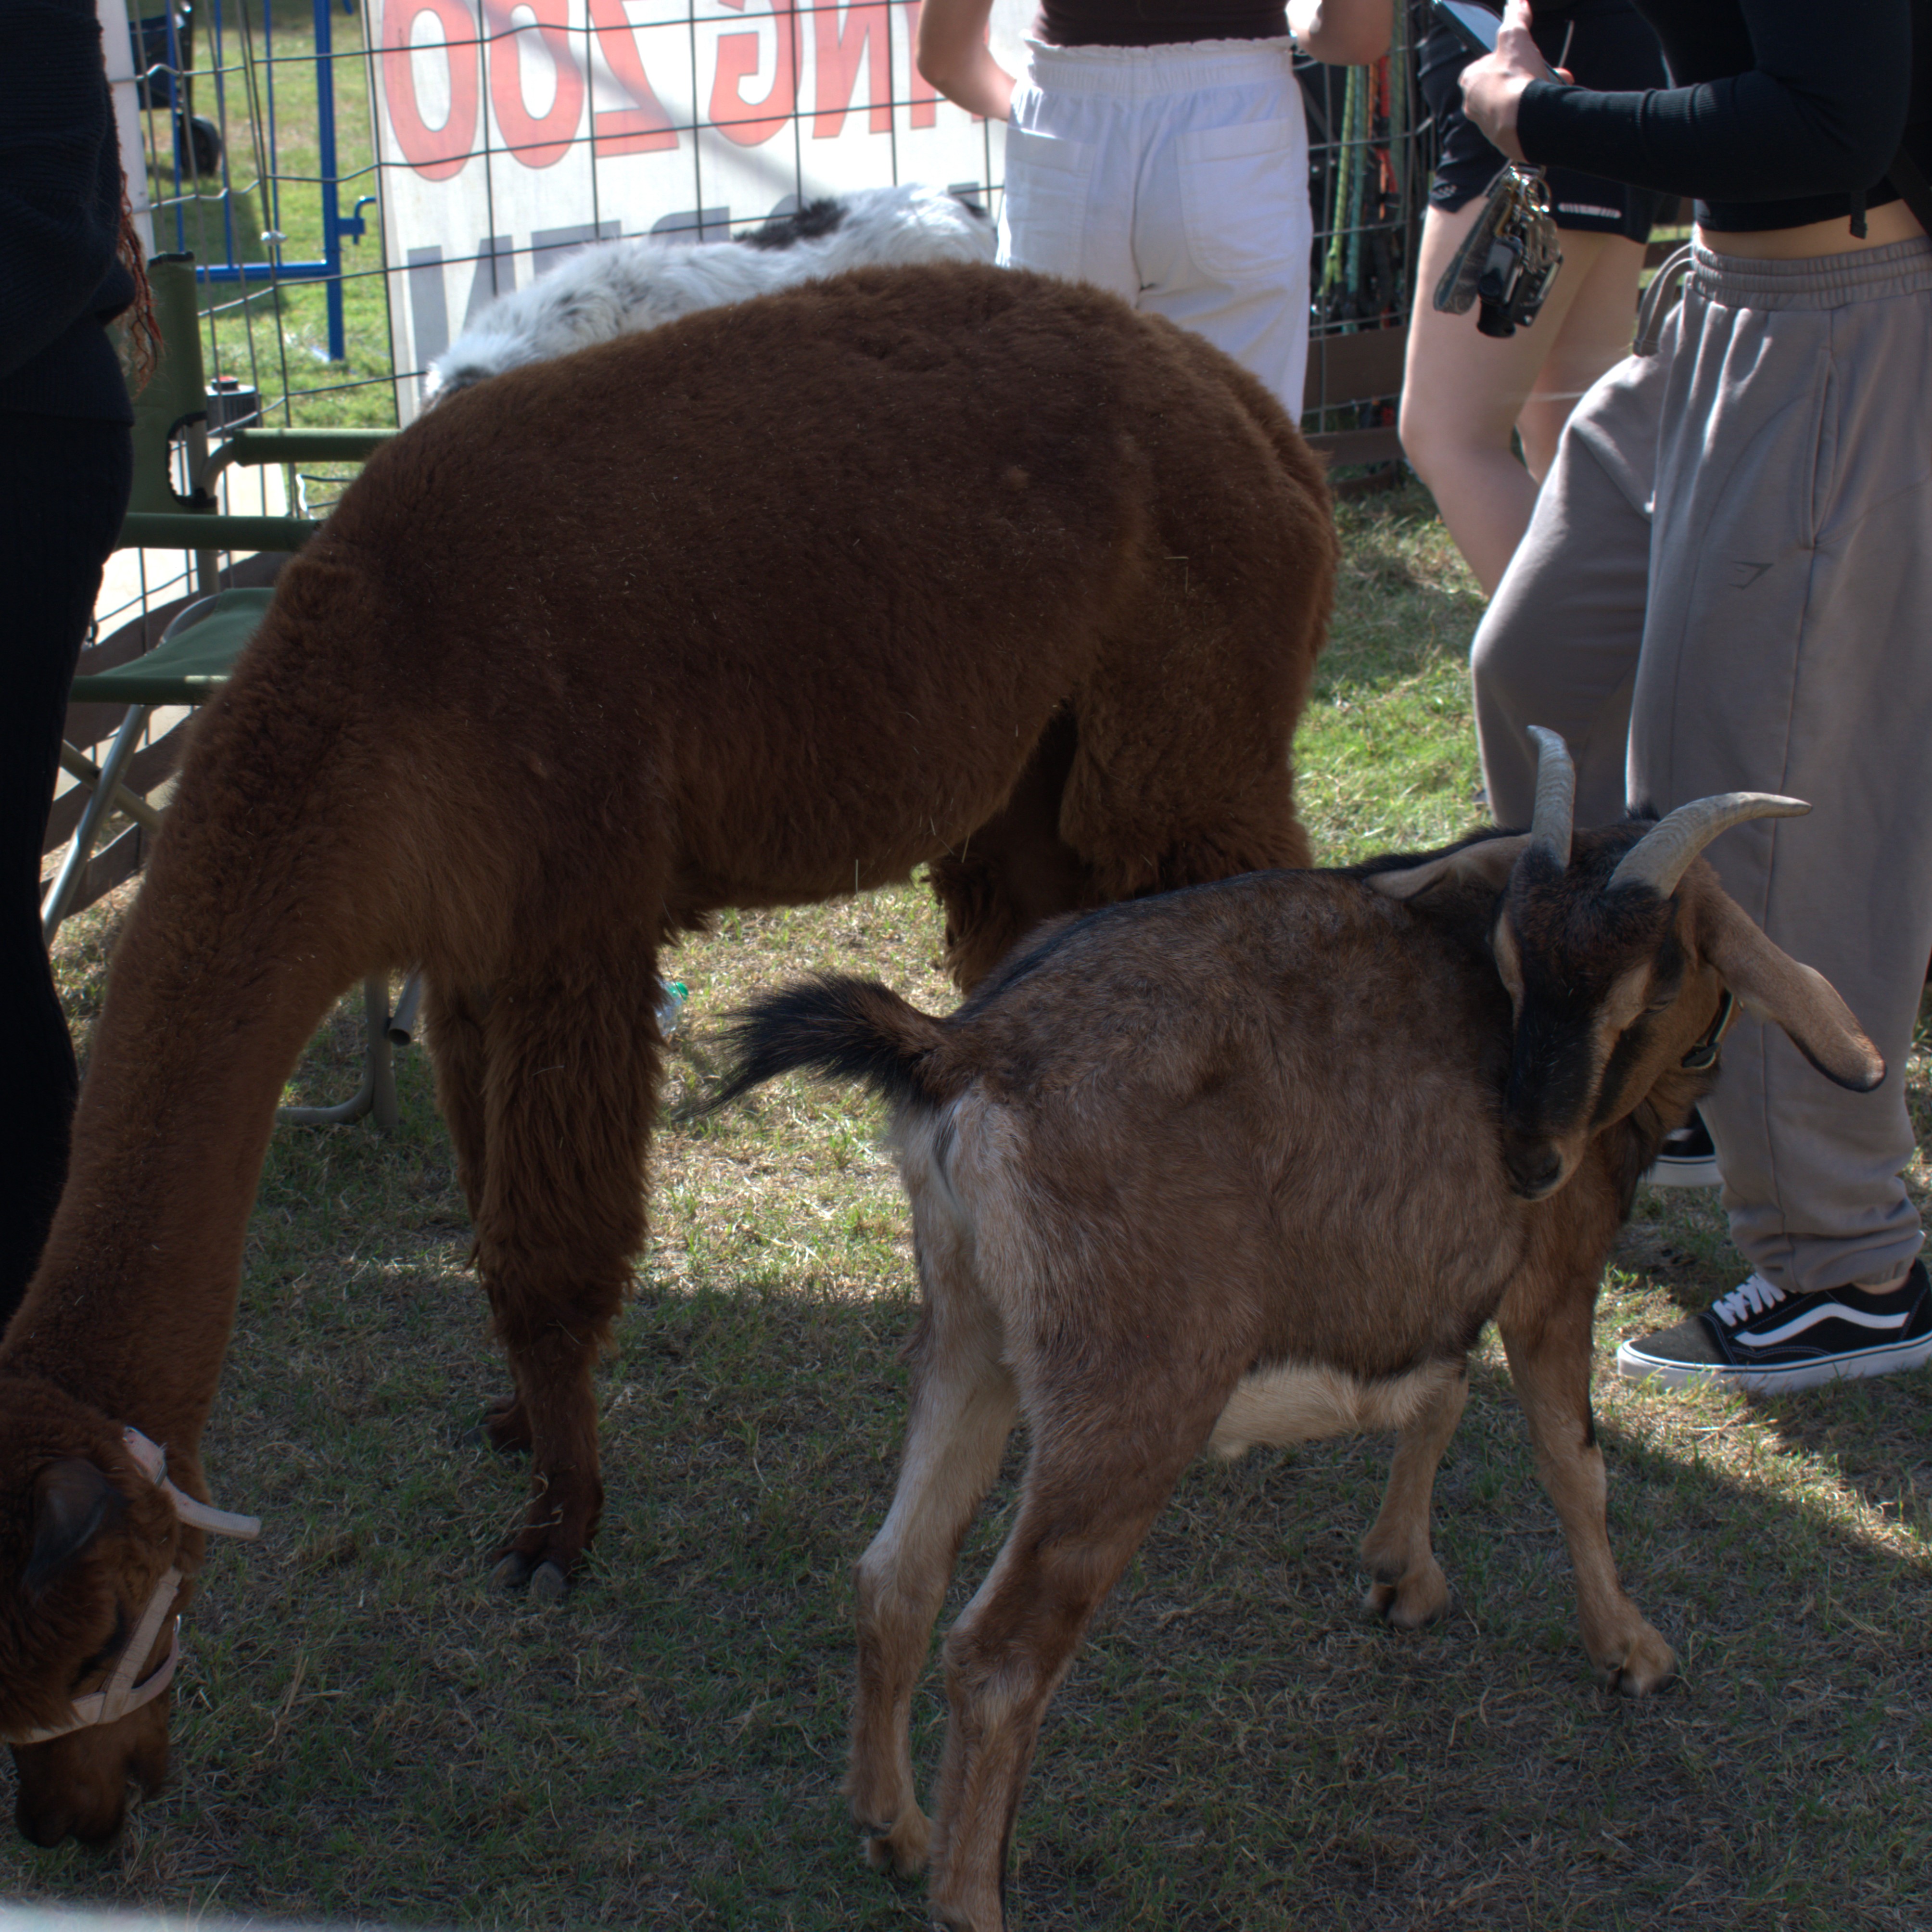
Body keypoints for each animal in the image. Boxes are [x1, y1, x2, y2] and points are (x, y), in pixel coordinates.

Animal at [0, 261, 1334, 1846]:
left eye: (105, 1631)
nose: (71, 1820)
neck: (400, 668)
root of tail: (1261, 413)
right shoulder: (471, 955)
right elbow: (481, 1211)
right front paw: (518, 1425)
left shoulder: (579, 910)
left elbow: (544, 1257)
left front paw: (558, 1530)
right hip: (1034, 782)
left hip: (1188, 738)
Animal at [708, 729, 1884, 1932]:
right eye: (1516, 964)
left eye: (1648, 974)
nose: (1525, 1159)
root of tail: (969, 1047)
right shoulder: (1552, 1272)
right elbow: (1571, 1458)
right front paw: (1628, 1649)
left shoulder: (1431, 1272)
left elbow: (1440, 1389)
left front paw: (1401, 1572)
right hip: (1131, 1392)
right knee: (999, 1654)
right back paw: (968, 1896)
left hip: (968, 1333)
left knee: (894, 1574)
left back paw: (892, 1826)